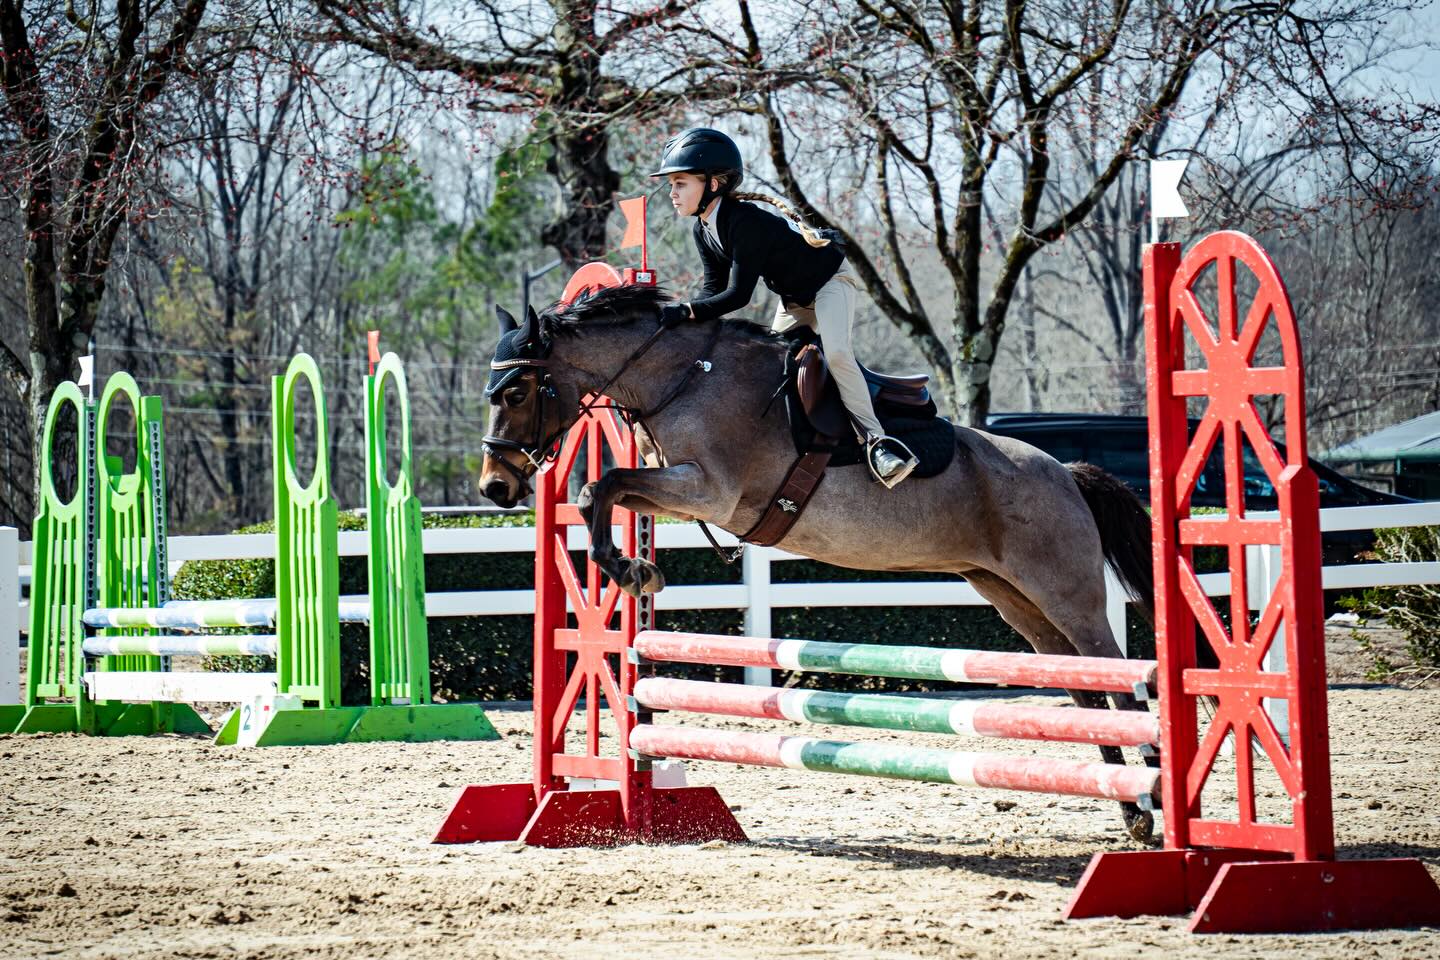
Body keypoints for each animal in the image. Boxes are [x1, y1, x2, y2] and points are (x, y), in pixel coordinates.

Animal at [478, 284, 1158, 841]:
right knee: (1083, 689)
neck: (683, 379)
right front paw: (636, 568)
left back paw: (1152, 803)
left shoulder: (708, 490)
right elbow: (603, 491)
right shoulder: (674, 488)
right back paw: (1129, 809)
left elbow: (604, 485)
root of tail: (1065, 473)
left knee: (1122, 684)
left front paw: (632, 571)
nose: (494, 487)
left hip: (1067, 595)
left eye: (515, 391)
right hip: (1012, 596)